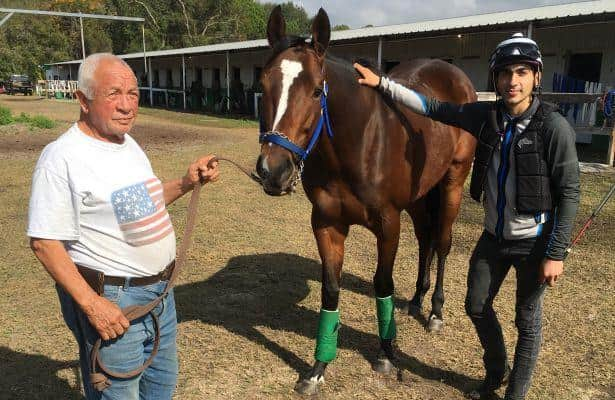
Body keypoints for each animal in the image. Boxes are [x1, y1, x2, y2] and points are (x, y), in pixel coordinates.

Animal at [258, 5, 478, 394]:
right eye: (264, 84)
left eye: (316, 91)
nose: (273, 171)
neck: (359, 142)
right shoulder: (326, 224)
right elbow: (331, 290)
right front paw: (318, 368)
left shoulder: (388, 224)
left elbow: (383, 284)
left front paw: (386, 355)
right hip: (419, 197)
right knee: (425, 238)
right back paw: (417, 300)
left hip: (452, 182)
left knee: (442, 242)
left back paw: (435, 310)